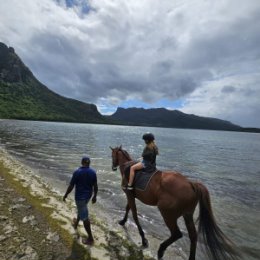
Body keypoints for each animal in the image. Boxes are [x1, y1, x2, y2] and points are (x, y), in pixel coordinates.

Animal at [109, 146, 240, 260]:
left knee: (177, 234)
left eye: (112, 155)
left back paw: (161, 250)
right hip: (187, 215)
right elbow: (128, 208)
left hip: (168, 214)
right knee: (193, 236)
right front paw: (123, 221)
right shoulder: (131, 196)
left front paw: (143, 239)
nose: (113, 167)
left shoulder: (129, 195)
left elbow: (134, 215)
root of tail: (190, 183)